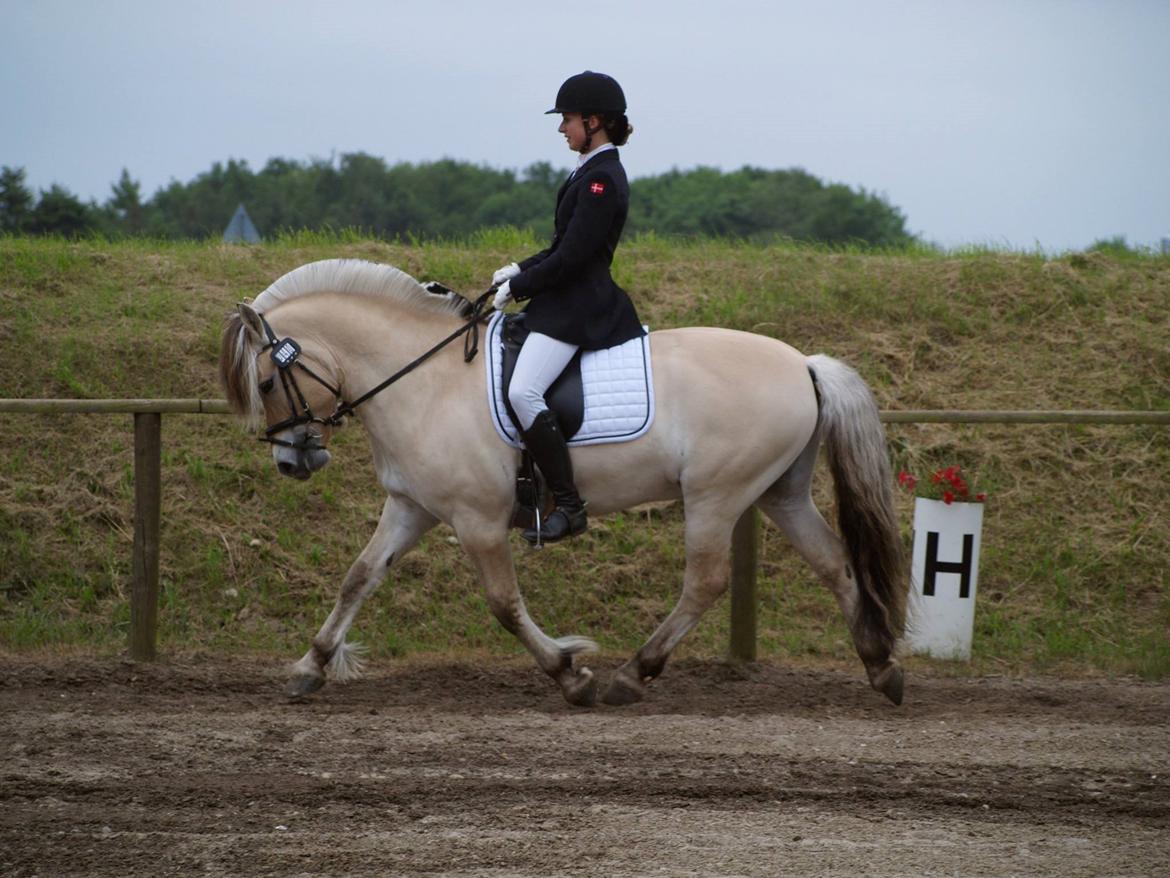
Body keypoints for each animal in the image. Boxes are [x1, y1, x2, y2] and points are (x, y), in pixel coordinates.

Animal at [219, 259, 907, 707]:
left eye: (266, 381)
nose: (293, 462)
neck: (423, 379)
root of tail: (804, 363)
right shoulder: (412, 507)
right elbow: (359, 577)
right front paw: (310, 666)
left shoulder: (477, 519)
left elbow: (503, 604)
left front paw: (569, 672)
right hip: (778, 492)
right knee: (834, 562)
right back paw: (880, 667)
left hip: (718, 494)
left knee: (706, 582)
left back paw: (632, 675)